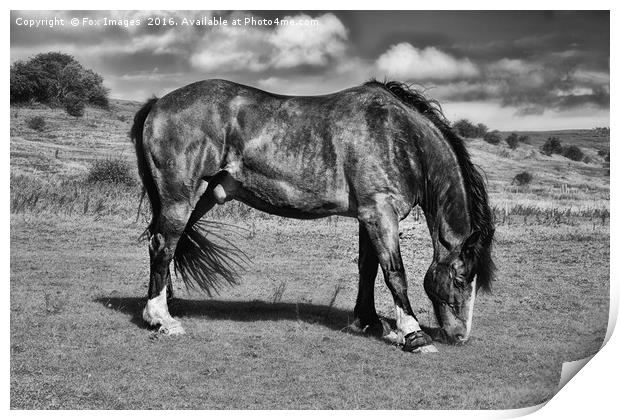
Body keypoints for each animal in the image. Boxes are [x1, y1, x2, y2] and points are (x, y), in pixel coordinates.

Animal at [130, 77, 494, 352]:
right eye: (460, 279)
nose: (460, 336)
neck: (398, 136)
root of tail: (159, 103)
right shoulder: (381, 213)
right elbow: (394, 273)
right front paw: (414, 335)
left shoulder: (368, 216)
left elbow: (368, 269)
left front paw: (370, 322)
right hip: (179, 197)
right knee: (163, 244)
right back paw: (161, 317)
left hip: (200, 197)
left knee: (166, 243)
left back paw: (166, 304)